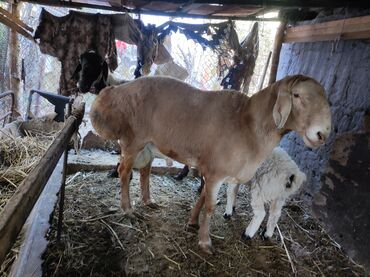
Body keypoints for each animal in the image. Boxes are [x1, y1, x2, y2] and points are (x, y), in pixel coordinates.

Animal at [90, 73, 332, 252]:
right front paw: (205, 241)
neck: (249, 125)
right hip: (133, 141)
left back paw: (149, 201)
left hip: (148, 146)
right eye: (297, 95)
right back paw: (128, 209)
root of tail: (114, 90)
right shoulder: (216, 173)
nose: (322, 134)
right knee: (124, 172)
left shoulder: (212, 170)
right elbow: (210, 206)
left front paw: (192, 222)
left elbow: (202, 198)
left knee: (144, 173)